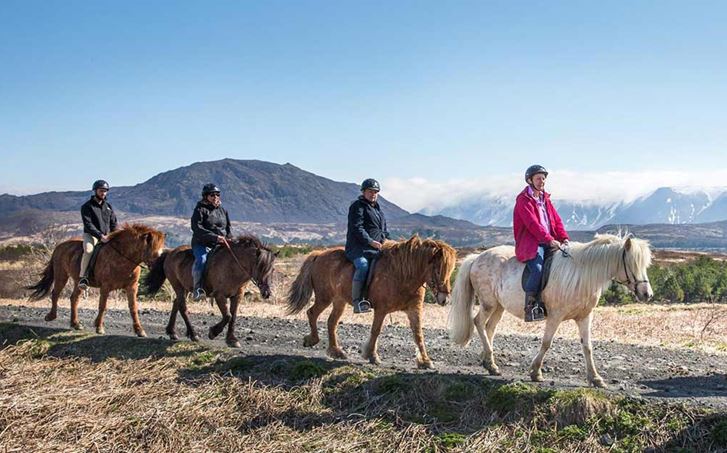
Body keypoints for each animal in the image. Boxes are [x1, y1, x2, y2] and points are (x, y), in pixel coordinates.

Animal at [27, 223, 166, 337]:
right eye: (153, 250)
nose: (158, 268)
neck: (122, 258)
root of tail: (60, 246)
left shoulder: (132, 287)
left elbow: (133, 308)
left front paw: (139, 330)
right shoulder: (105, 287)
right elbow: (103, 306)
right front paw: (99, 327)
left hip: (78, 282)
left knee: (74, 298)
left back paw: (75, 323)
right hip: (61, 275)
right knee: (55, 294)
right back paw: (51, 316)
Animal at [142, 235, 277, 347]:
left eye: (272, 269)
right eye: (260, 266)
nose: (267, 293)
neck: (233, 267)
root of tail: (170, 252)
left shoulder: (237, 295)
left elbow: (233, 316)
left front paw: (232, 339)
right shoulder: (219, 295)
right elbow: (227, 316)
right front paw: (213, 333)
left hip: (184, 288)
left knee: (176, 304)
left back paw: (172, 332)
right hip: (178, 286)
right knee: (182, 307)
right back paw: (193, 334)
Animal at [286, 235, 457, 369]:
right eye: (438, 271)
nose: (445, 299)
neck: (402, 274)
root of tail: (319, 254)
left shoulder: (414, 310)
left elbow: (418, 334)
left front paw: (425, 361)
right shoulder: (381, 309)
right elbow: (376, 330)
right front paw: (372, 355)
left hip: (339, 301)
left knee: (331, 322)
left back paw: (336, 351)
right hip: (324, 298)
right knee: (312, 313)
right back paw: (312, 340)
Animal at [448, 233, 653, 388]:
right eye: (633, 265)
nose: (647, 294)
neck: (582, 274)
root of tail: (476, 258)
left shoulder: (584, 317)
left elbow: (587, 347)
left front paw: (595, 378)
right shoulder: (555, 316)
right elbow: (547, 343)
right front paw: (535, 372)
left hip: (499, 306)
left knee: (489, 327)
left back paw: (489, 363)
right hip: (489, 303)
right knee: (478, 322)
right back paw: (490, 362)